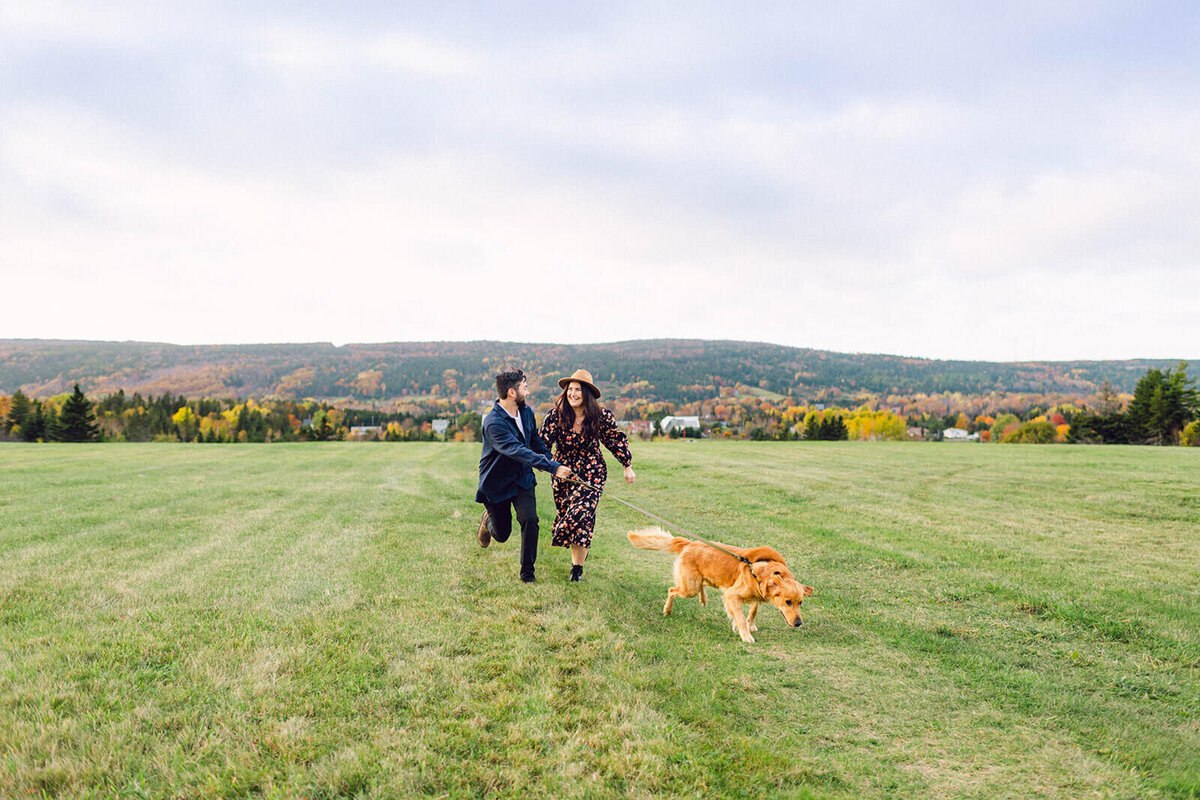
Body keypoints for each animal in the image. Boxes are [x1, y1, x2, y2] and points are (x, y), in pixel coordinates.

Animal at [628, 525, 816, 642]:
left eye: (801, 602)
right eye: (788, 602)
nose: (799, 623)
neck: (761, 573)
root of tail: (690, 543)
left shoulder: (756, 594)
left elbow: (753, 609)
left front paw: (751, 625)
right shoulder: (731, 595)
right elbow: (740, 617)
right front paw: (746, 635)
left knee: (699, 586)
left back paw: (703, 599)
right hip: (689, 587)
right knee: (672, 590)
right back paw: (667, 610)